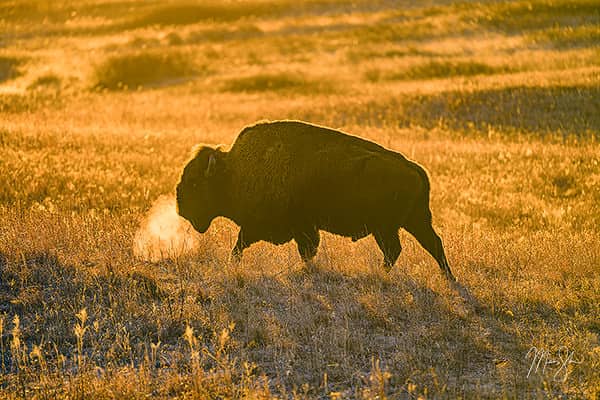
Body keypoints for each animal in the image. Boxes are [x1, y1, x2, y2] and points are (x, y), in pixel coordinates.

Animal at [177, 120, 454, 280]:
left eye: (195, 183)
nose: (181, 207)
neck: (234, 171)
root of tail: (413, 167)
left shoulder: (292, 227)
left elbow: (247, 245)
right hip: (411, 222)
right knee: (432, 244)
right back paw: (447, 277)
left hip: (387, 227)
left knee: (397, 250)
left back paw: (380, 274)